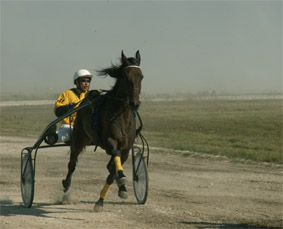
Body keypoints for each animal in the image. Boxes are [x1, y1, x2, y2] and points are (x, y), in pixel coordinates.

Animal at [61, 50, 144, 211]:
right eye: (126, 77)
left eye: (141, 76)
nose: (135, 103)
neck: (122, 116)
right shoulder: (110, 141)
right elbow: (115, 159)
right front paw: (121, 178)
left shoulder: (126, 149)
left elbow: (112, 172)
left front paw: (105, 198)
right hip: (79, 138)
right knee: (72, 163)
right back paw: (66, 185)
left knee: (109, 165)